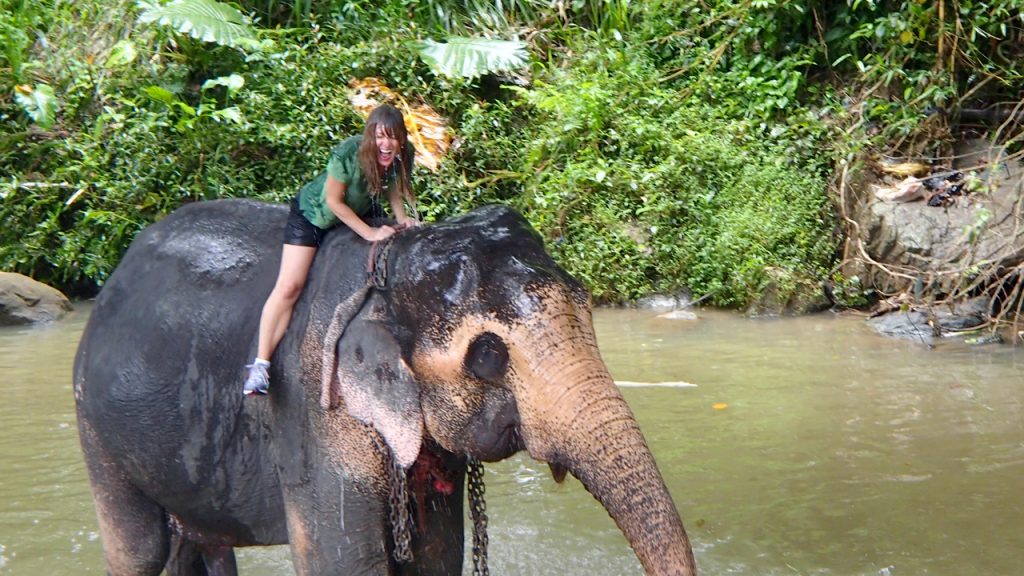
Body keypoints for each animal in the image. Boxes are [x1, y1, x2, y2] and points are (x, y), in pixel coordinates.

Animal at [74, 198, 696, 573]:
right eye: (488, 355)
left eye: (588, 305)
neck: (383, 278)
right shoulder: (314, 411)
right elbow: (344, 562)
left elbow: (435, 558)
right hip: (94, 425)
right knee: (139, 550)